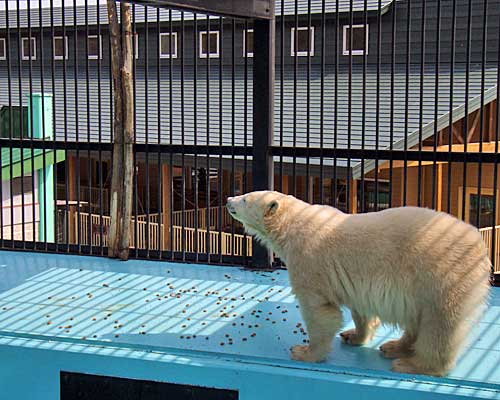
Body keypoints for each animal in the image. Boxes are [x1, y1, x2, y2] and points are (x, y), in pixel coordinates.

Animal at [228, 190, 492, 376]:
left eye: (245, 198)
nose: (229, 199)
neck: (294, 224)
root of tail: (481, 245)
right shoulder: (358, 280)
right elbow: (361, 310)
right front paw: (353, 336)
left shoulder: (309, 262)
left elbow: (320, 311)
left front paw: (305, 352)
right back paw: (393, 347)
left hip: (443, 278)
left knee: (440, 328)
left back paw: (411, 364)